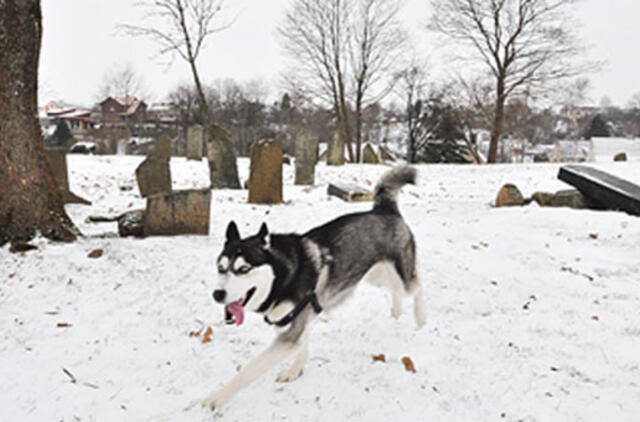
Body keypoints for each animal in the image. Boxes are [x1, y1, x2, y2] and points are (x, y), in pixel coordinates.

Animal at [205, 166, 424, 410]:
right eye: (220, 268)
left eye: (243, 269)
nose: (217, 294)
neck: (283, 276)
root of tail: (384, 209)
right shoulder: (297, 320)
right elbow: (303, 345)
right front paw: (295, 370)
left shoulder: (289, 334)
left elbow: (248, 371)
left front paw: (215, 398)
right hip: (374, 275)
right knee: (396, 289)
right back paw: (397, 311)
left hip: (400, 275)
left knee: (416, 285)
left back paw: (420, 319)